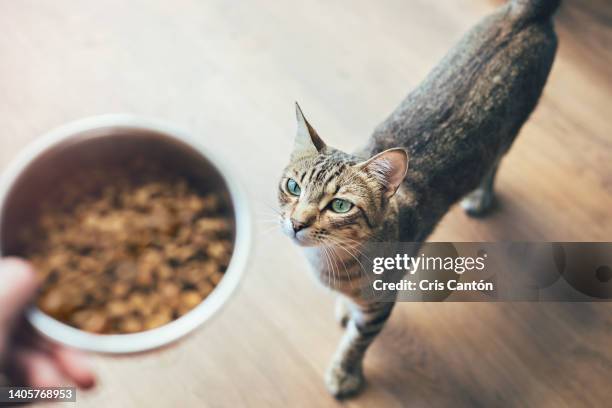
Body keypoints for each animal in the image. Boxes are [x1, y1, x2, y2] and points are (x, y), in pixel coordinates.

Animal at [278, 0, 560, 396]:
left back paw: (481, 197)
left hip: (507, 134)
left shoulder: (382, 302)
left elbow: (357, 341)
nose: (296, 222)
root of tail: (526, 14)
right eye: (293, 188)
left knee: (494, 164)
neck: (331, 261)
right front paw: (346, 308)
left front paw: (344, 372)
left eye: (340, 205)